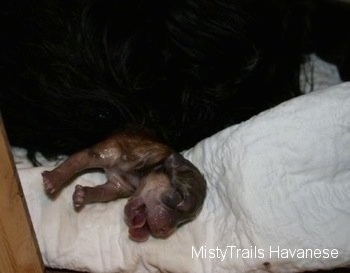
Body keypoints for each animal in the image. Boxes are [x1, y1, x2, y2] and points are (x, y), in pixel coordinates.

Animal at [41, 130, 206, 240]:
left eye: (183, 222)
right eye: (178, 197)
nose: (163, 230)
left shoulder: (118, 186)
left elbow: (103, 192)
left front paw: (82, 195)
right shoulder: (107, 152)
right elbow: (76, 161)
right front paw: (54, 179)